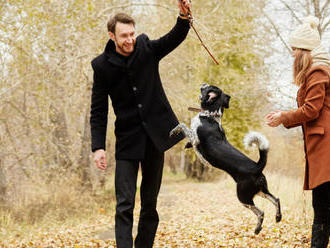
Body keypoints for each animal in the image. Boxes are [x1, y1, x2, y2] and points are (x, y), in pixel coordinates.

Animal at [170, 84, 282, 234]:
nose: (203, 84)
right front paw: (186, 144)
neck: (211, 115)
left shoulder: (195, 139)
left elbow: (182, 125)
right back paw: (278, 217)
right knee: (276, 199)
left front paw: (174, 131)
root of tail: (257, 166)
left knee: (261, 212)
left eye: (208, 88)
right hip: (260, 190)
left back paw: (258, 228)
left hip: (243, 196)